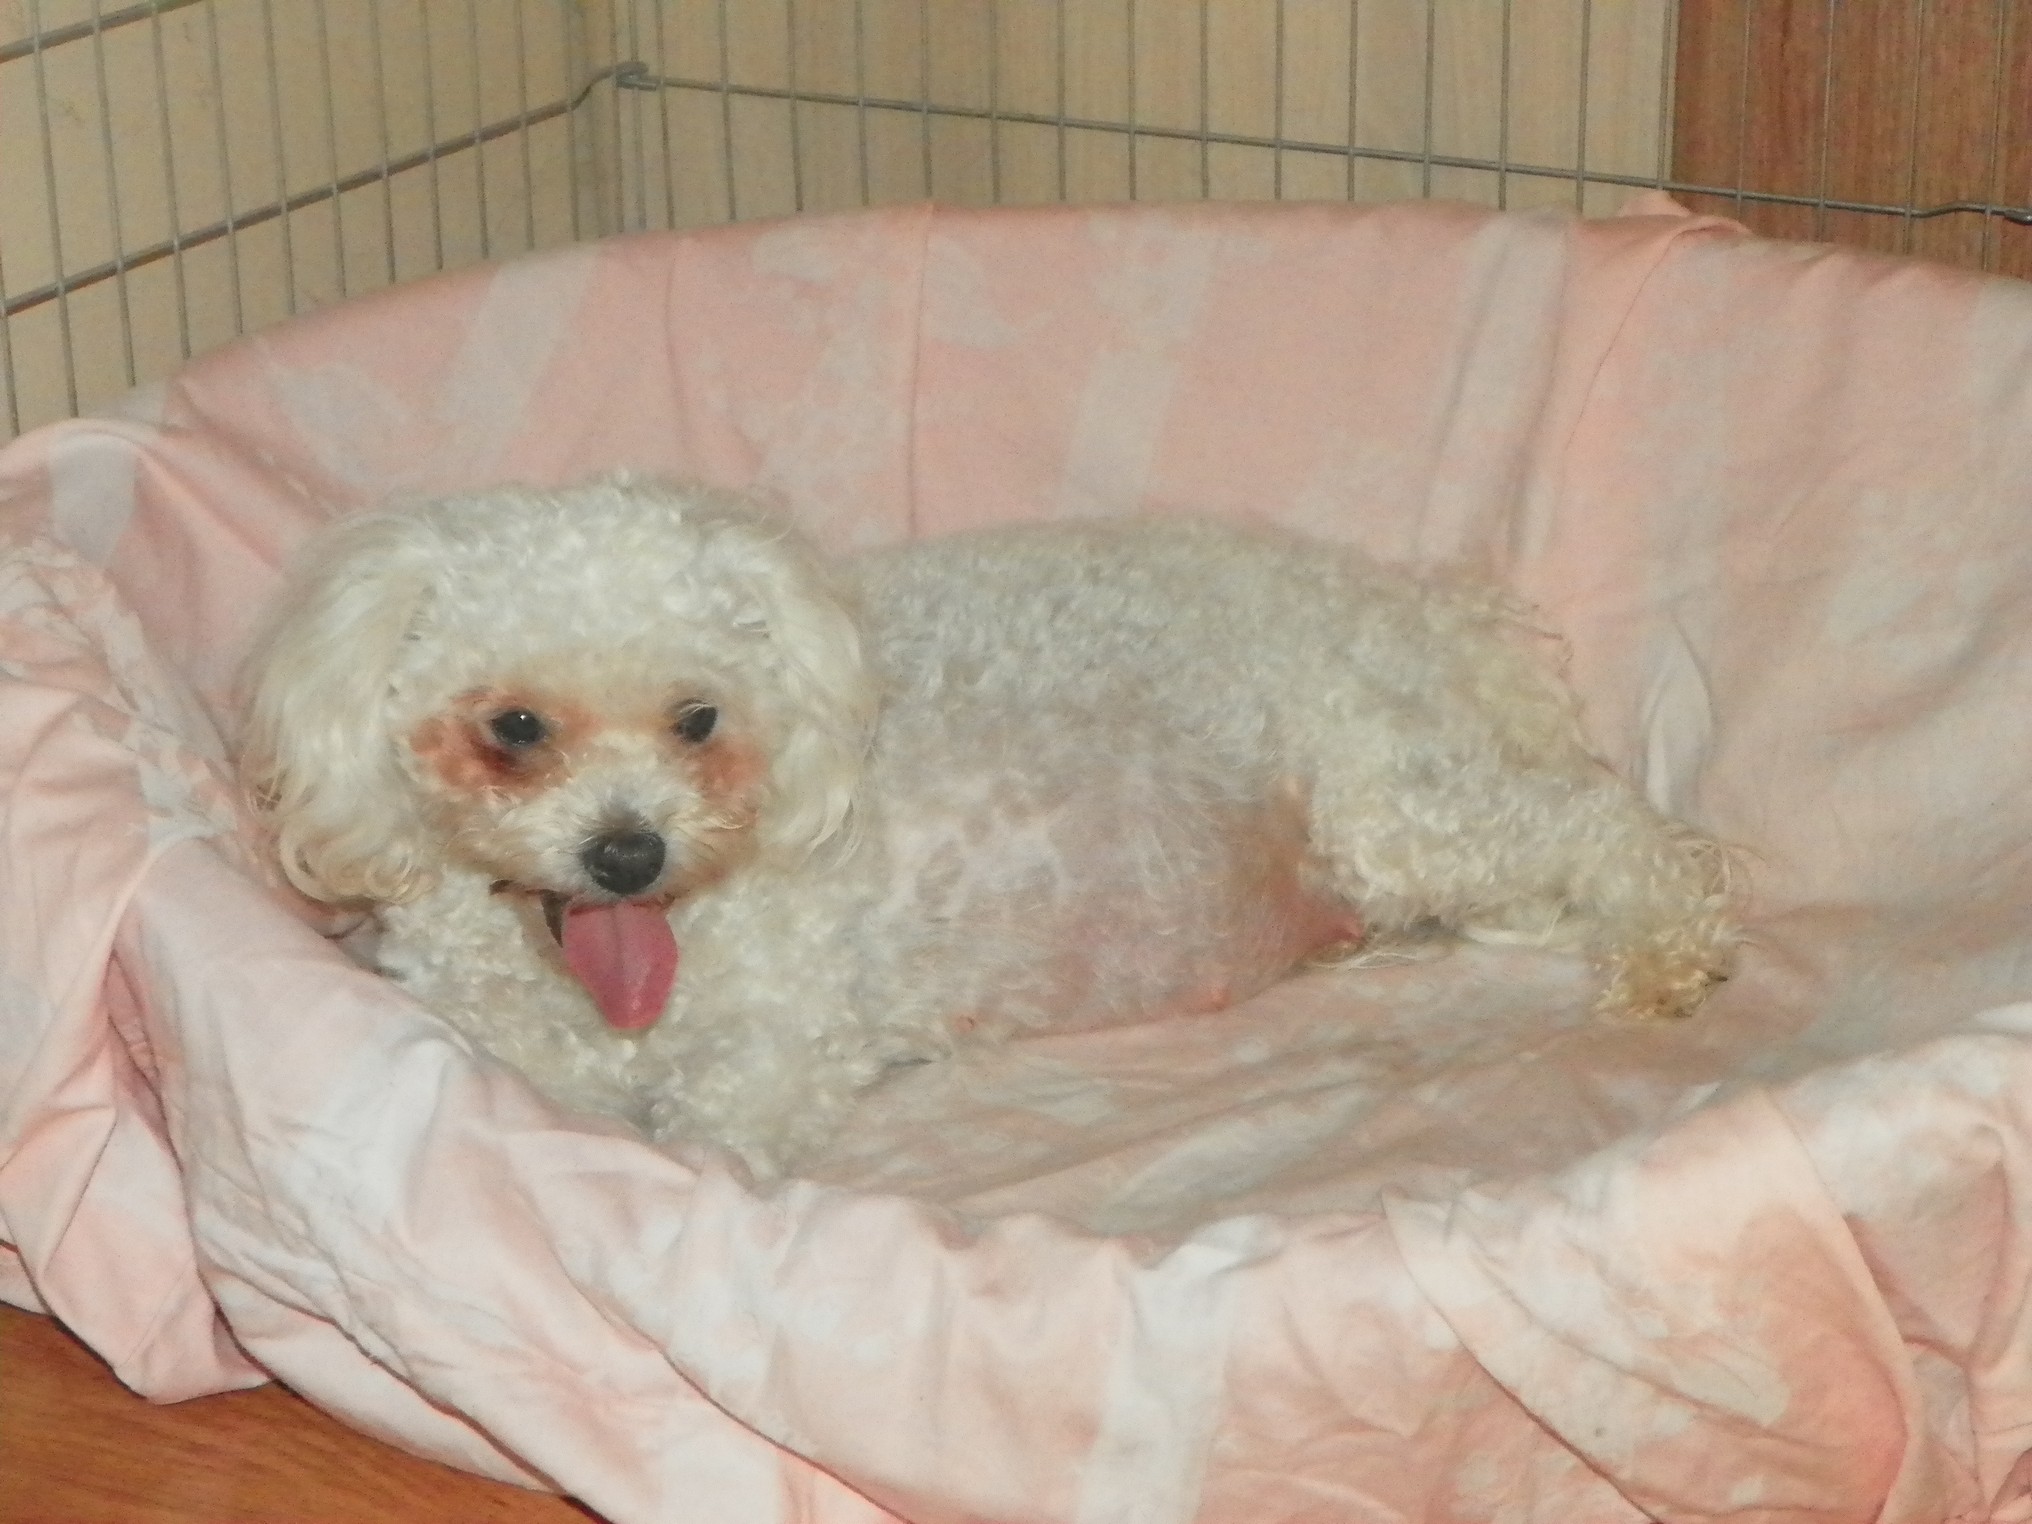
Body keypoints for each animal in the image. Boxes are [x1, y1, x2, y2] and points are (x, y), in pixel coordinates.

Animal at [238, 477, 1734, 1173]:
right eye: (513, 727)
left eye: (698, 719)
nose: (628, 853)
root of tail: (1409, 605)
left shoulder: (775, 1049)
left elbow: (704, 1136)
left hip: (1395, 799)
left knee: (1612, 826)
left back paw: (1666, 948)